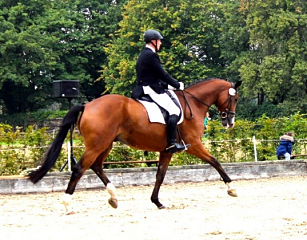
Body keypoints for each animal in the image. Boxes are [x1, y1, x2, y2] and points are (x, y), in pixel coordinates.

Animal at [27, 78, 242, 214]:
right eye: (235, 98)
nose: (230, 123)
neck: (193, 103)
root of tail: (87, 105)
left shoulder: (167, 150)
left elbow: (160, 175)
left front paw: (157, 202)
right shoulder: (194, 144)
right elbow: (215, 161)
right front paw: (232, 188)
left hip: (106, 144)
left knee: (96, 166)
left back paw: (113, 198)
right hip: (97, 145)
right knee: (80, 168)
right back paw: (67, 204)